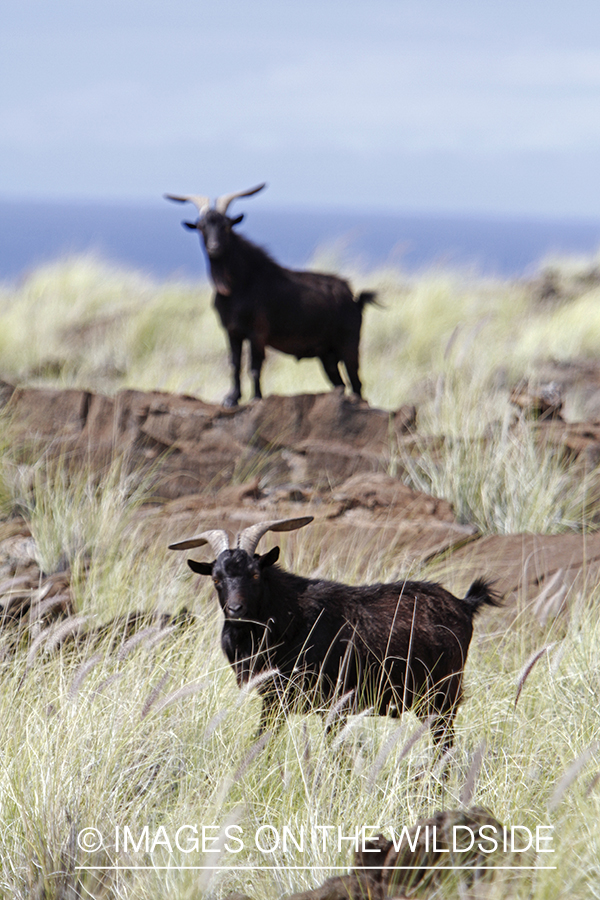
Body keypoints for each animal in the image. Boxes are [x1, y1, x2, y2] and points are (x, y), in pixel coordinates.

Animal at [165, 184, 377, 407]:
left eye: (226, 225)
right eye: (201, 226)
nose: (214, 248)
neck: (237, 286)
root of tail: (355, 299)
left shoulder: (257, 332)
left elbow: (255, 367)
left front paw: (256, 398)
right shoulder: (232, 331)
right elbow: (234, 364)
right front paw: (231, 398)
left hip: (349, 344)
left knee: (357, 382)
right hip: (327, 355)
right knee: (340, 384)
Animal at [169, 517, 498, 755]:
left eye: (254, 574)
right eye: (216, 579)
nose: (236, 610)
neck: (290, 616)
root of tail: (464, 605)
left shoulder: (333, 702)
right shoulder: (275, 701)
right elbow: (263, 739)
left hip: (443, 696)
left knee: (445, 749)